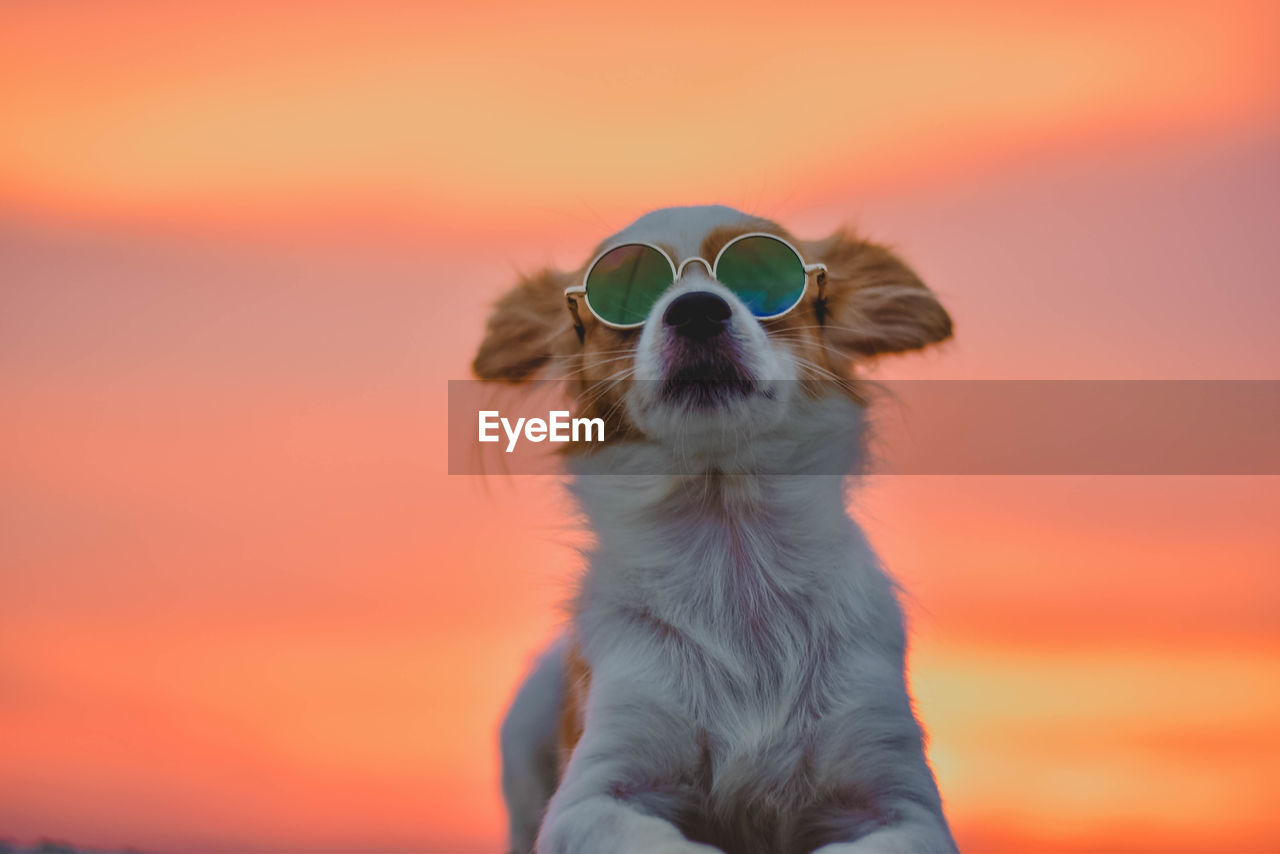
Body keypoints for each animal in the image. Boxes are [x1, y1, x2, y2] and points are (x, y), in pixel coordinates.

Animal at [476, 207, 957, 854]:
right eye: (621, 293)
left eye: (764, 277)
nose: (697, 308)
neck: (732, 554)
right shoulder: (589, 802)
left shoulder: (906, 810)